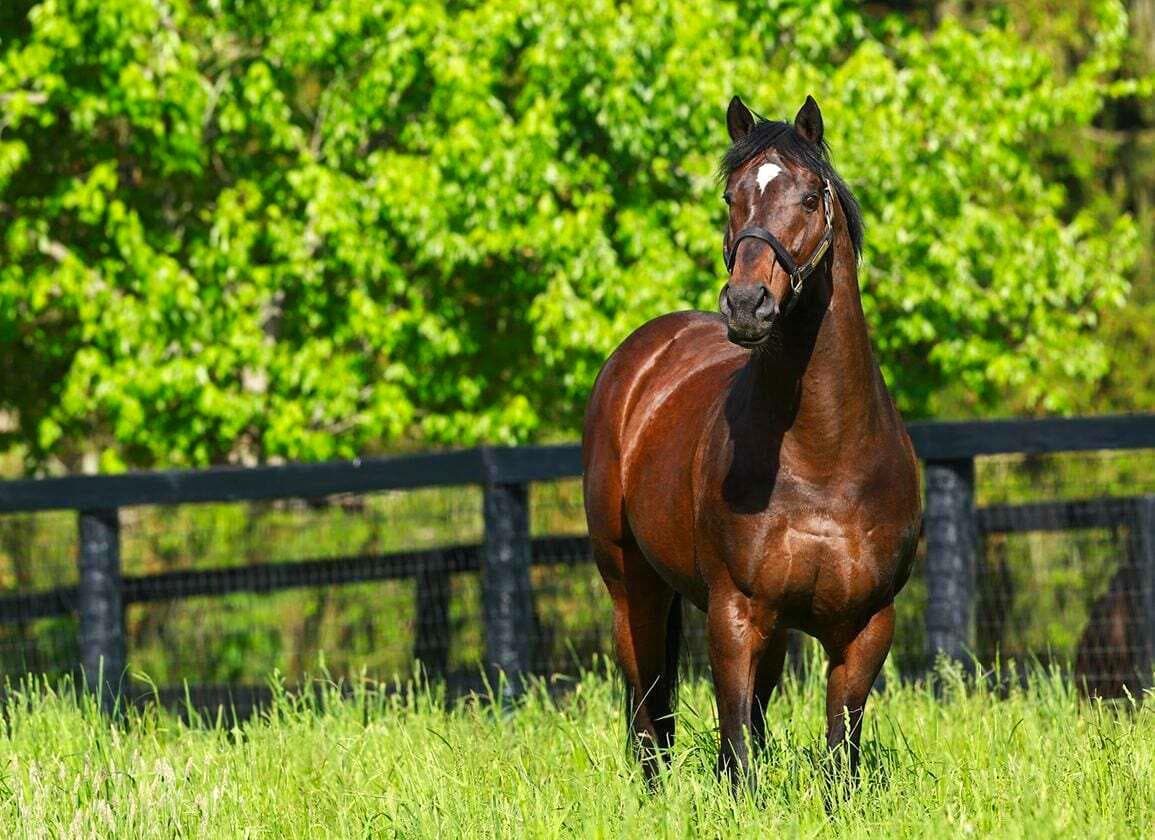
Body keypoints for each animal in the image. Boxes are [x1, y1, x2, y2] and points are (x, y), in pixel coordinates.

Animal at [582, 95, 922, 787]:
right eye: (731, 196)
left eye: (810, 198)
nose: (746, 304)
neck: (824, 457)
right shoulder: (734, 613)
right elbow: (736, 749)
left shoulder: (867, 627)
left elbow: (839, 751)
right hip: (632, 587)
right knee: (647, 709)